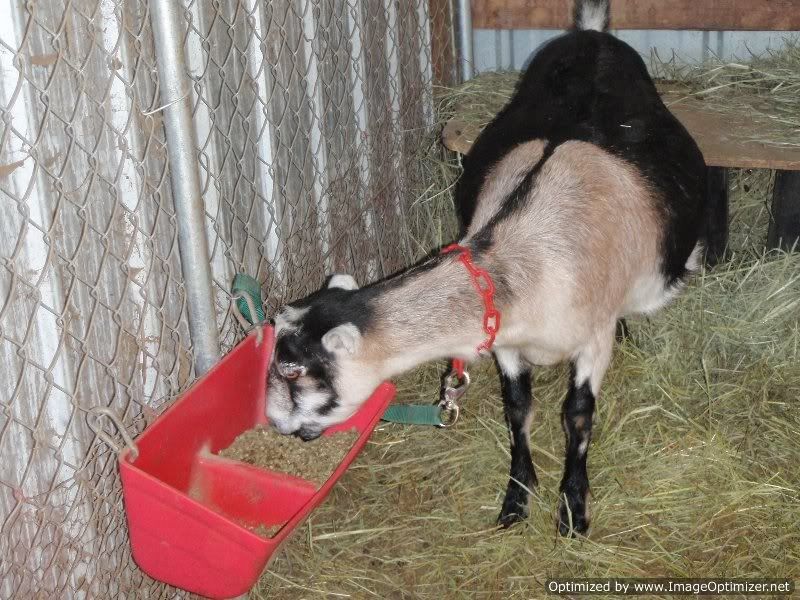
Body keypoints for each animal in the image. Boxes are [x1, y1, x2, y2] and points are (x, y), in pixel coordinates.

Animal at [267, 0, 708, 535]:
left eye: (293, 371)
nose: (275, 425)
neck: (522, 262)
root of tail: (593, 35)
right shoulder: (506, 343)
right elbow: (518, 409)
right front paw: (517, 497)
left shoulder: (591, 341)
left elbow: (577, 415)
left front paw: (572, 508)